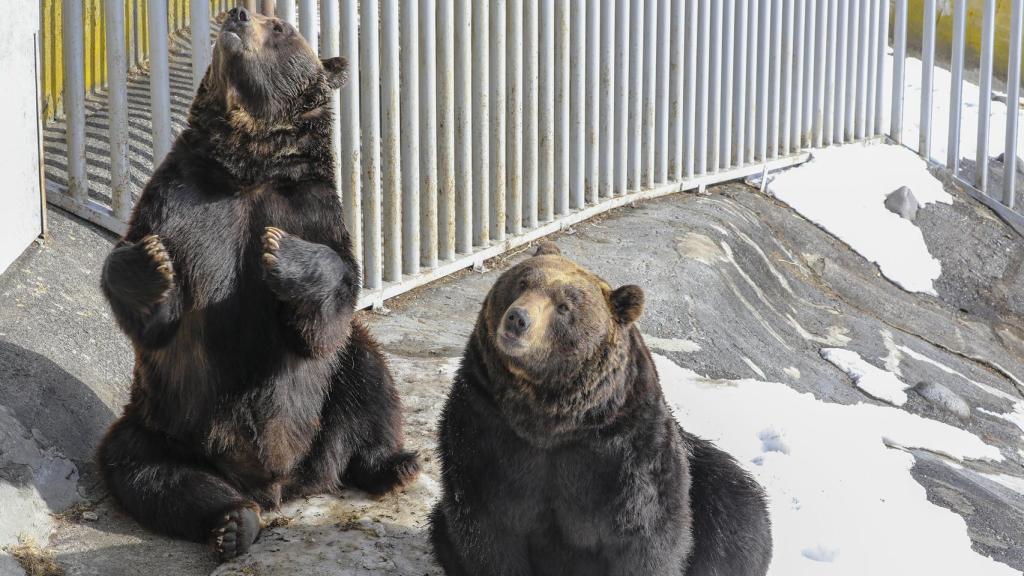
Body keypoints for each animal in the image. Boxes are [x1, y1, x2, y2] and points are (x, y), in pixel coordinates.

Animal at [97, 6, 419, 561]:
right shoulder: (178, 201)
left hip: (326, 410)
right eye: (264, 18)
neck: (248, 165)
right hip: (165, 424)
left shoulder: (310, 210)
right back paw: (232, 522)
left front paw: (282, 253)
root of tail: (281, 485)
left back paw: (393, 466)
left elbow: (327, 312)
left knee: (368, 373)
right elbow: (158, 312)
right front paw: (149, 267)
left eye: (281, 28)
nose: (238, 14)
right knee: (148, 469)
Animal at [430, 242, 772, 576]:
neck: (550, 418)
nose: (518, 319)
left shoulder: (627, 453)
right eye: (522, 282)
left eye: (564, 306)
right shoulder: (486, 427)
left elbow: (647, 535)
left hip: (711, 486)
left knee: (739, 518)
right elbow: (486, 526)